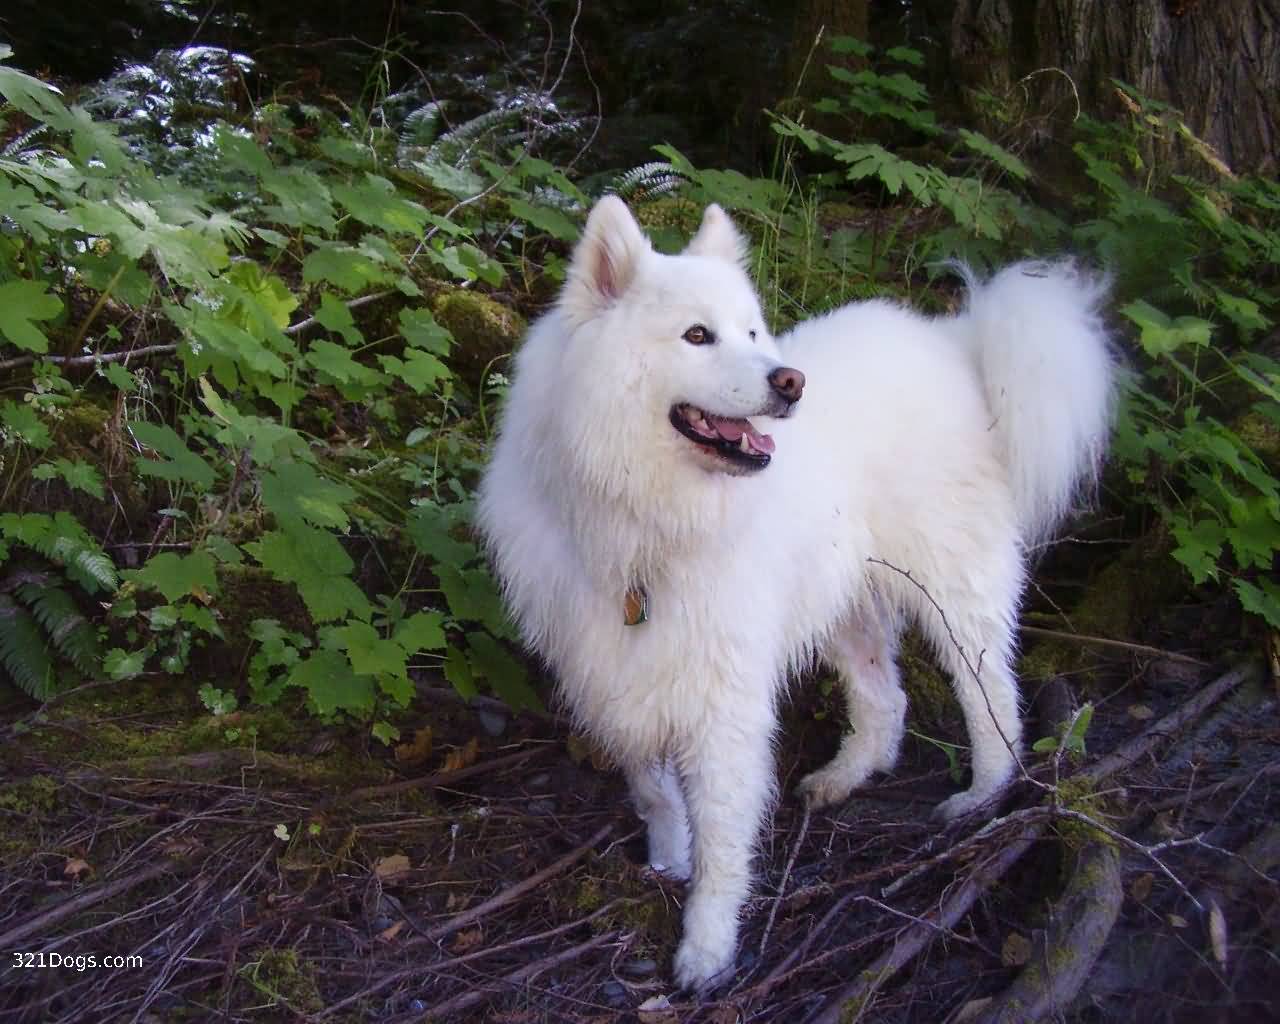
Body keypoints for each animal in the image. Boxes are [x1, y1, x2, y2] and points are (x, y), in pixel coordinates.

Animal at [476, 198, 1116, 993]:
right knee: (886, 701)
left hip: (952, 592)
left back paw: (982, 797)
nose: (791, 382)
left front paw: (707, 948)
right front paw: (667, 860)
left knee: (992, 696)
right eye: (697, 335)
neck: (649, 521)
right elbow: (655, 790)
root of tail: (954, 342)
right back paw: (842, 779)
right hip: (846, 603)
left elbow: (724, 834)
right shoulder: (618, 671)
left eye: (752, 332)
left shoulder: (725, 699)